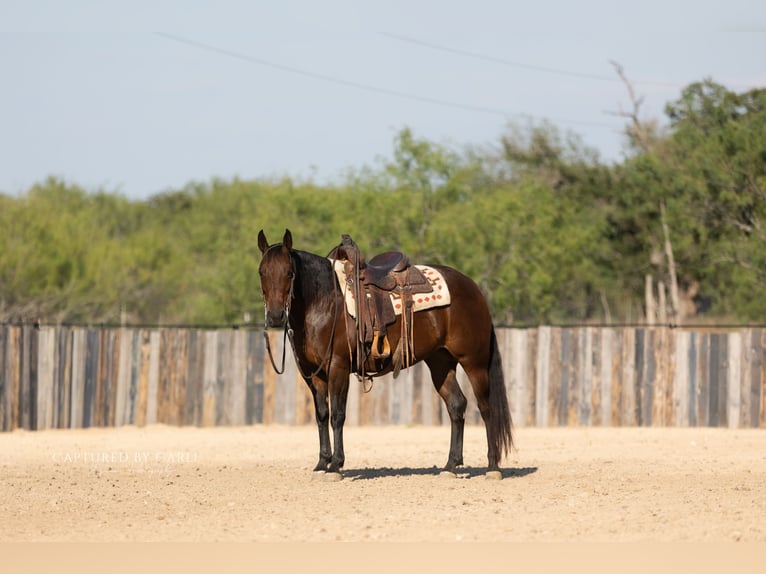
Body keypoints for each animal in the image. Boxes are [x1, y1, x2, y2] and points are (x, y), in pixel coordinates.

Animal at [257, 229, 513, 480]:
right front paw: (322, 463)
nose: (276, 316)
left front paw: (336, 466)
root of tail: (473, 288)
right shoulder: (313, 373)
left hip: (474, 362)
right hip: (440, 362)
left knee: (486, 408)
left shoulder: (338, 366)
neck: (324, 303)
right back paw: (450, 466)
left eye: (289, 273)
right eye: (262, 272)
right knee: (457, 405)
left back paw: (492, 467)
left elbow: (337, 415)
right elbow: (321, 415)